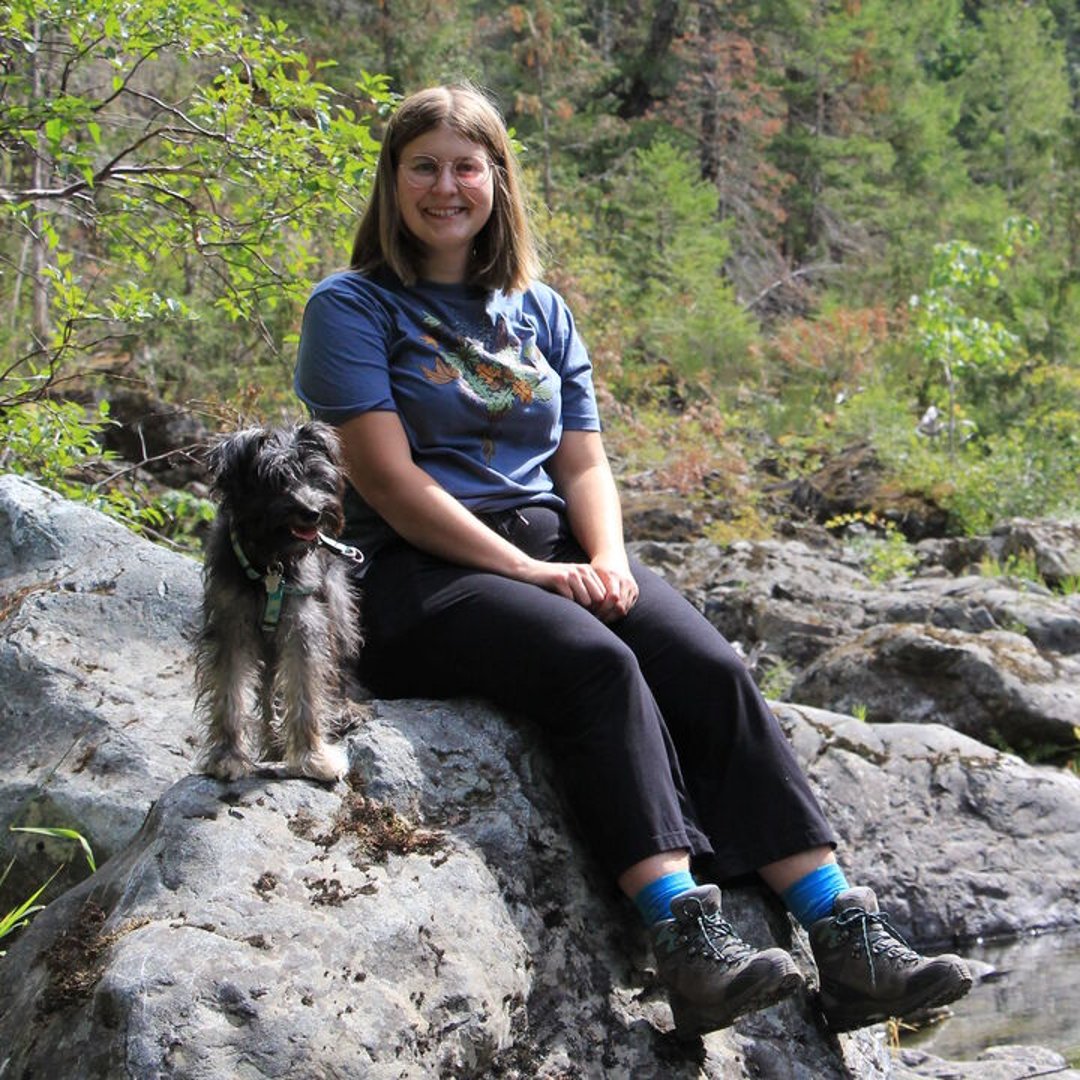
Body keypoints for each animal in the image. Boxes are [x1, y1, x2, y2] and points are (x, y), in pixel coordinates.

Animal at [195, 421, 362, 786]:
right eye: (276, 480)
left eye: (316, 476)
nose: (312, 512)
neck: (270, 562)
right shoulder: (231, 623)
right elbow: (230, 691)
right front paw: (228, 756)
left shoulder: (304, 625)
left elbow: (305, 692)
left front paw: (313, 758)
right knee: (268, 689)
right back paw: (272, 741)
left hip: (337, 611)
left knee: (336, 666)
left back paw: (344, 709)